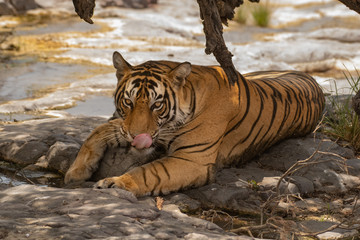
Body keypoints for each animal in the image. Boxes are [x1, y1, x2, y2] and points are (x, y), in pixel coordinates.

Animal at [63, 51, 324, 196]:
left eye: (156, 105)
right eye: (128, 101)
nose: (138, 138)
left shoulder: (191, 159)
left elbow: (148, 172)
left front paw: (114, 183)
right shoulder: (130, 126)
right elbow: (100, 129)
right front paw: (76, 171)